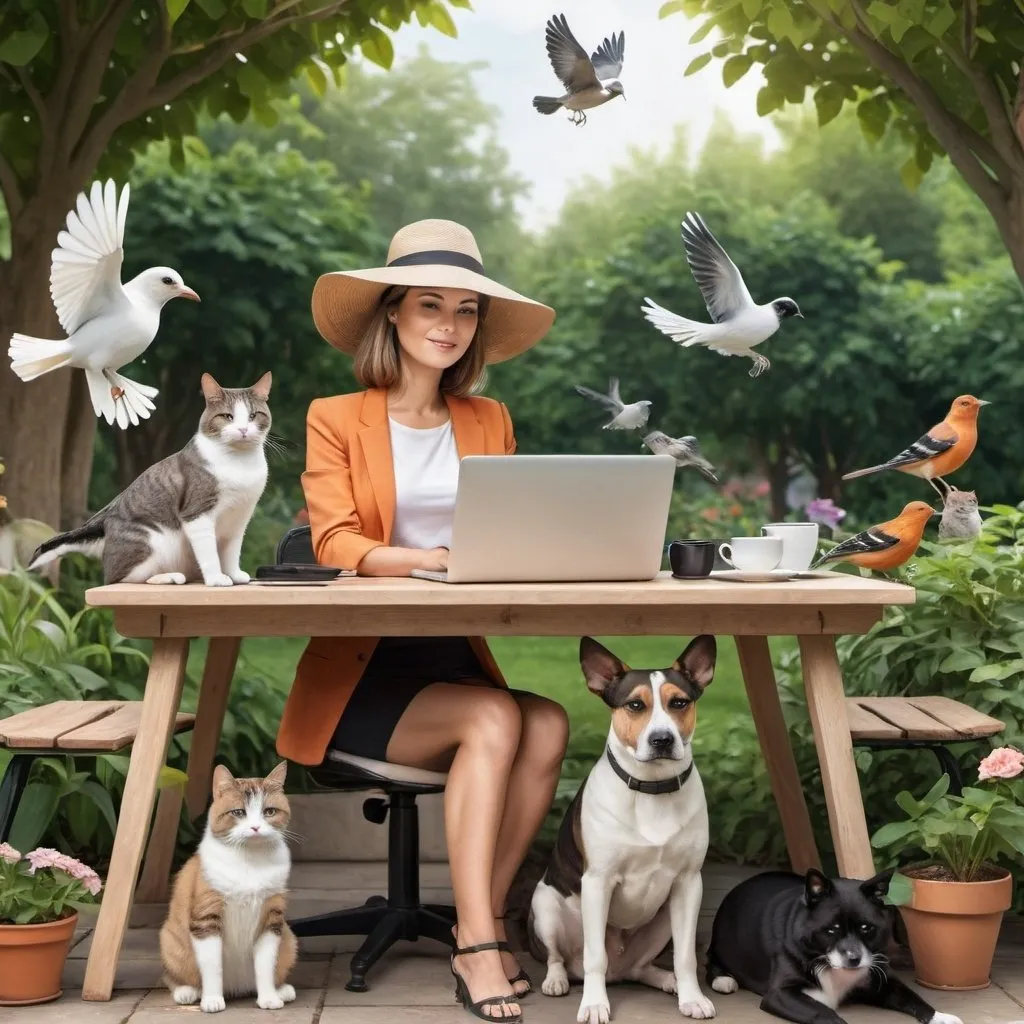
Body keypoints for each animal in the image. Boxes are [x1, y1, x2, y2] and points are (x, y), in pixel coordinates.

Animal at [157, 757, 299, 1011]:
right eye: (239, 812)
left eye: (269, 811)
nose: (255, 827)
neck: (250, 861)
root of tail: (237, 989)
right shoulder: (206, 918)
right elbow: (212, 965)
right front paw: (212, 1000)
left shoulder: (272, 918)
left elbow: (265, 964)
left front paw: (269, 998)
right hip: (169, 940)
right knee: (172, 976)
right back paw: (187, 992)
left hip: (290, 939)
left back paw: (282, 990)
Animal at [528, 634, 720, 1019]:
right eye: (634, 705)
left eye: (679, 702)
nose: (662, 739)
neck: (652, 788)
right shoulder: (597, 881)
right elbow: (595, 957)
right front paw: (594, 1004)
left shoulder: (689, 883)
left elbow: (686, 956)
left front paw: (692, 997)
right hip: (545, 906)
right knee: (559, 957)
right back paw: (556, 981)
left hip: (661, 922)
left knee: (641, 967)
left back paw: (666, 980)